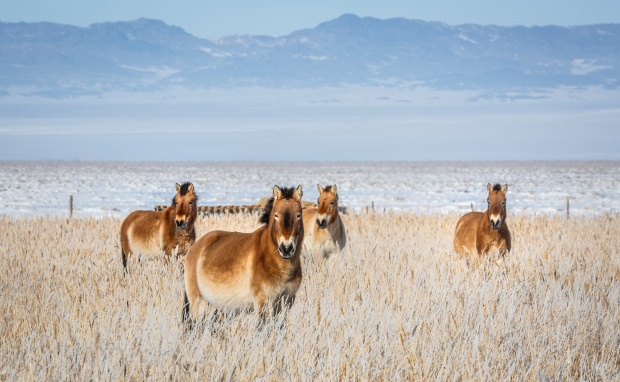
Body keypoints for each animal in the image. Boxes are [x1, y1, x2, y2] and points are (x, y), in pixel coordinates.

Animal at [183, 185, 304, 328]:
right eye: (276, 215)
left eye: (298, 215)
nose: (286, 248)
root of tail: (195, 247)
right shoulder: (262, 302)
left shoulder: (286, 301)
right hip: (198, 302)